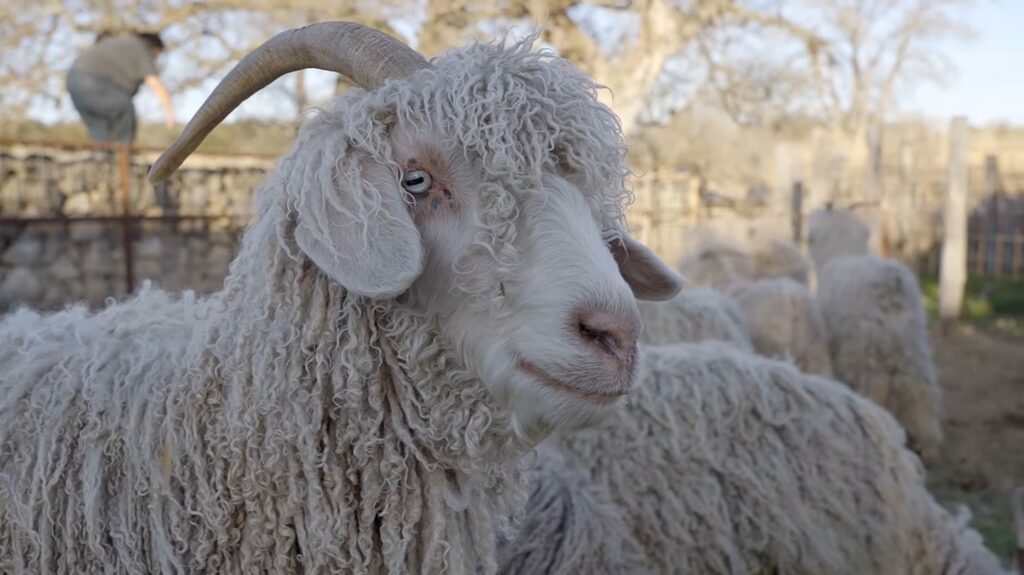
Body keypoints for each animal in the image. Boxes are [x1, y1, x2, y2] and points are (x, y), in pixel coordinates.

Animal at [806, 204, 942, 460]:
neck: (842, 252)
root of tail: (891, 281)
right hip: (914, 347)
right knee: (921, 391)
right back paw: (928, 445)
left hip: (867, 349)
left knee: (875, 389)